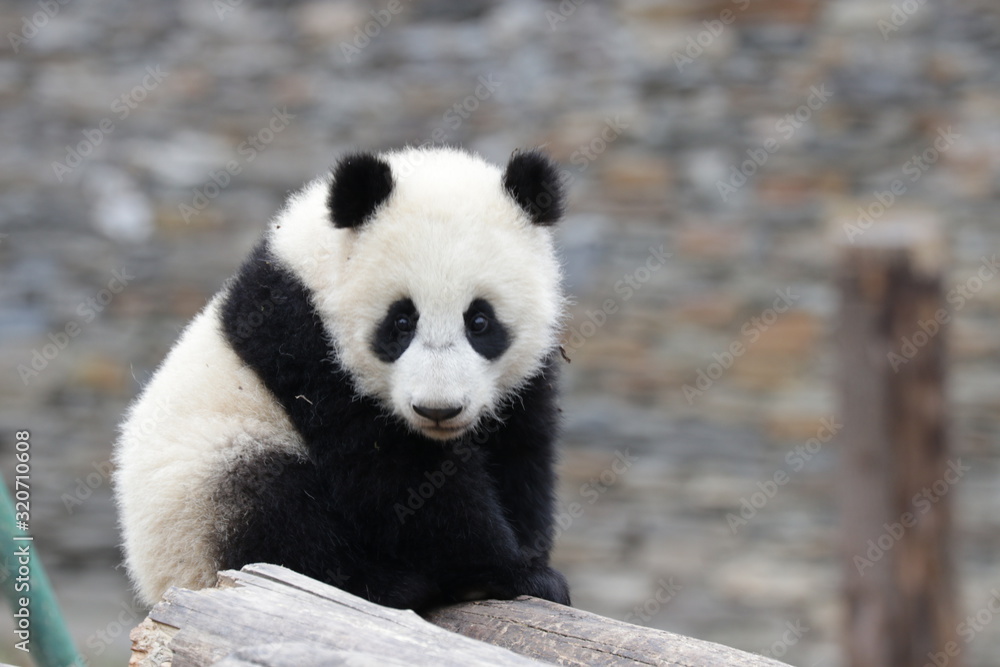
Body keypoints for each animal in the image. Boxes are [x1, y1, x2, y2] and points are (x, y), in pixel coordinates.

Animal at [113, 146, 571, 610]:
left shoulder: (521, 384)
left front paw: (529, 561)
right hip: (200, 487)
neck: (315, 266)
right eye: (401, 321)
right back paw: (388, 584)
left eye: (479, 321)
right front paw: (508, 574)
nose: (438, 409)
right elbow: (395, 478)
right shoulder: (306, 346)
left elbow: (520, 454)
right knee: (275, 511)